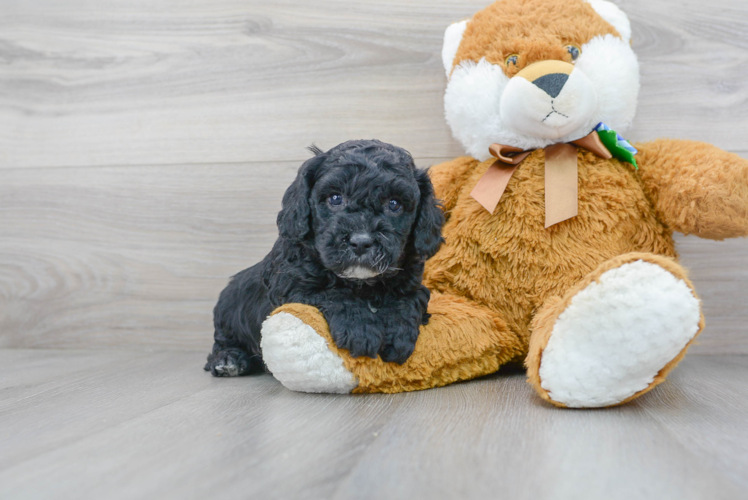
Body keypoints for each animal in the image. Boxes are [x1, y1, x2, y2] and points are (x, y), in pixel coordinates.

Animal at [205, 139, 444, 376]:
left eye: (394, 204)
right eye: (335, 198)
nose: (361, 241)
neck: (361, 283)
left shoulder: (413, 284)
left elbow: (408, 299)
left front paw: (398, 334)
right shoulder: (291, 284)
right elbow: (333, 294)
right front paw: (360, 330)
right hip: (229, 310)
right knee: (222, 341)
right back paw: (229, 359)